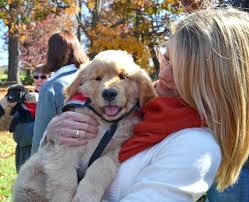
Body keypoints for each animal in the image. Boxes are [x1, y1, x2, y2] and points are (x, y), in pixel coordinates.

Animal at [12, 49, 157, 202]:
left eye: (123, 76)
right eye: (97, 78)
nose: (109, 93)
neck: (104, 122)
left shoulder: (117, 149)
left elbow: (100, 166)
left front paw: (86, 196)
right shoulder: (66, 145)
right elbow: (66, 180)